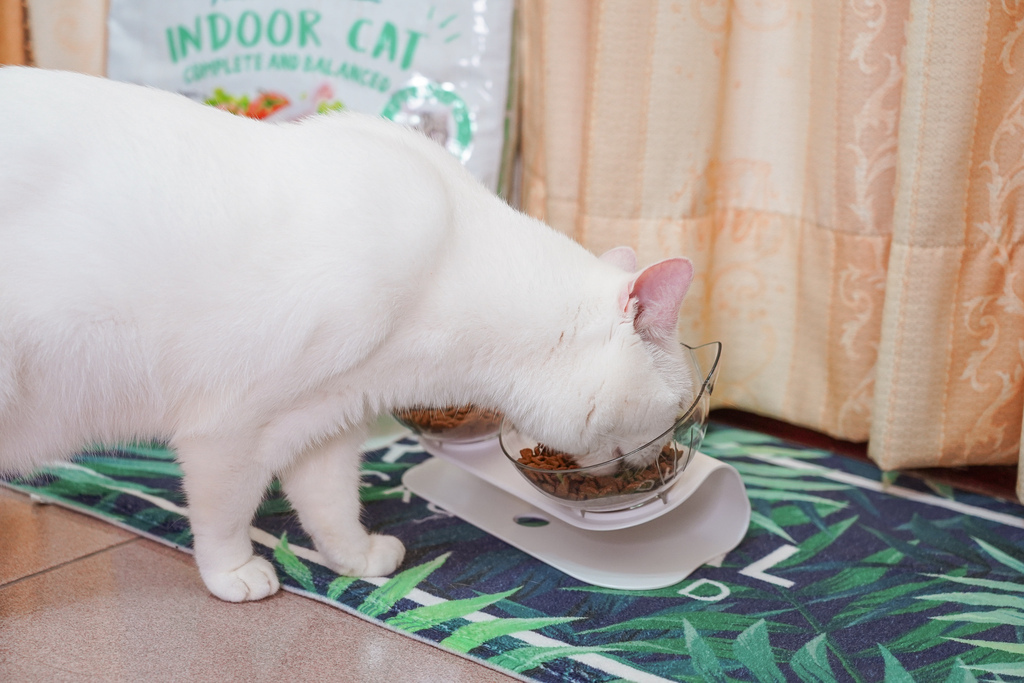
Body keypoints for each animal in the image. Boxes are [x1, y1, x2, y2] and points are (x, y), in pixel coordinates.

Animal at [0, 68, 696, 602]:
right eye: (675, 414)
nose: (661, 462)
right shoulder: (227, 428)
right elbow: (225, 514)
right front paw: (233, 574)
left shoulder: (323, 421)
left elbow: (331, 507)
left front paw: (358, 561)